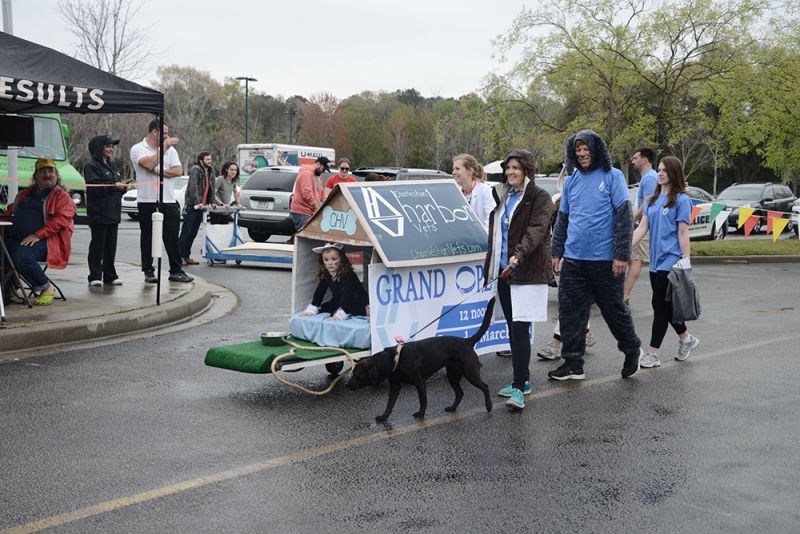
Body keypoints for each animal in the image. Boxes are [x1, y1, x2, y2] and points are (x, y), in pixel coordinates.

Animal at [348, 298, 494, 422]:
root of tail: (467, 341)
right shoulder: (395, 386)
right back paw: (452, 408)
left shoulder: (420, 383)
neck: (394, 360)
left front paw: (421, 414)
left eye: (357, 375)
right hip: (452, 374)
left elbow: (423, 400)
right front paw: (384, 417)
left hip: (470, 373)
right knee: (460, 393)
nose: (347, 385)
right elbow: (389, 404)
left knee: (485, 387)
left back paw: (489, 406)